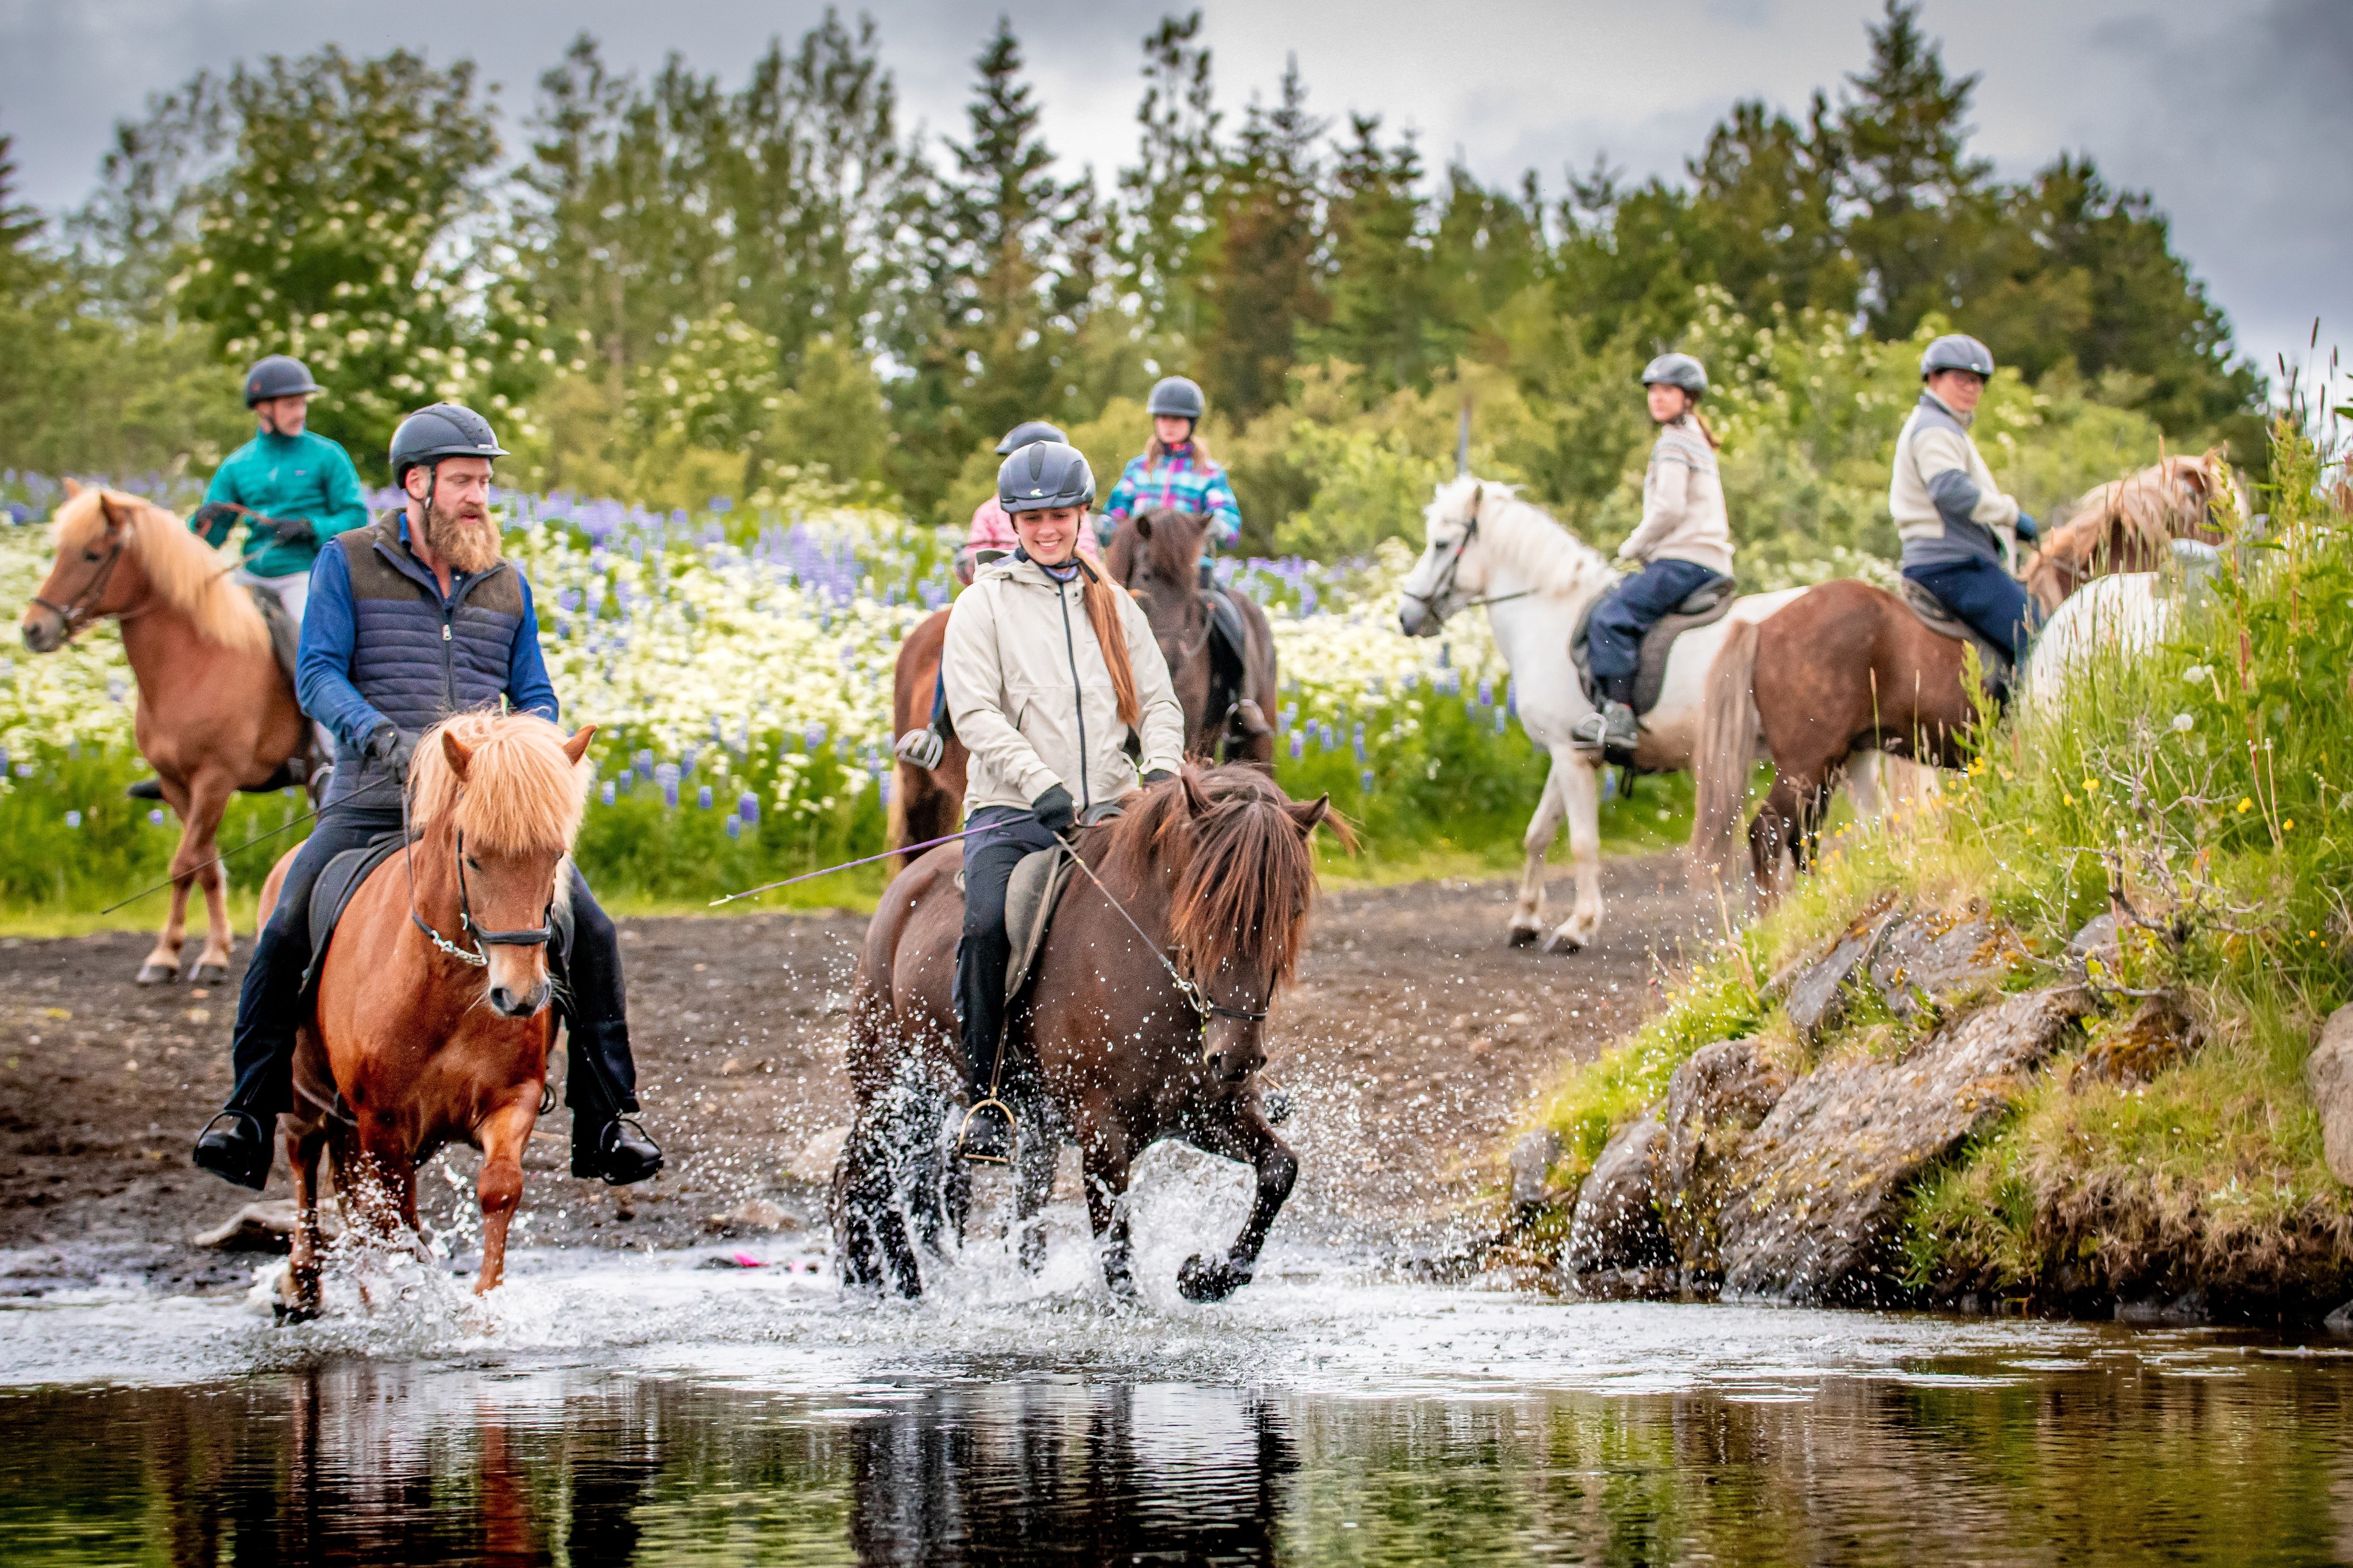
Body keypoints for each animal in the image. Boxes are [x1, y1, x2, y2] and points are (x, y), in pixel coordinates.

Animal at [18, 481, 311, 984]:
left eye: (93, 554)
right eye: (59, 552)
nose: (35, 630)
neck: (194, 664)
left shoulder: (215, 780)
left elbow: (183, 863)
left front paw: (189, 955)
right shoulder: (177, 784)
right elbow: (203, 865)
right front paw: (194, 951)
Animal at [259, 711, 595, 1317]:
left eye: (556, 855)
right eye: (474, 857)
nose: (520, 996)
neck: (447, 991)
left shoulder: (512, 1099)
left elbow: (499, 1188)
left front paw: (484, 1307)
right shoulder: (383, 1121)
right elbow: (396, 1222)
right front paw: (413, 1301)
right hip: (304, 1088)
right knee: (304, 1157)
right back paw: (303, 1283)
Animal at [836, 765, 1341, 1302]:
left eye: (1291, 911)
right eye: (1205, 904)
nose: (1237, 1058)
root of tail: (904, 885)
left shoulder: (1207, 1113)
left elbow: (1280, 1170)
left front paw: (1206, 1276)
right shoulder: (1103, 1135)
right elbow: (1117, 1258)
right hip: (891, 1089)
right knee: (866, 1177)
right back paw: (896, 1285)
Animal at [1394, 474, 1836, 951]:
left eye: (1440, 544)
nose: (1406, 615)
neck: (1550, 617)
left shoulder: (1571, 757)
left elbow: (1583, 843)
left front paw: (1577, 927)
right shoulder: (1567, 753)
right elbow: (1537, 833)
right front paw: (1525, 920)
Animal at [1692, 454, 2231, 893]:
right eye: (2213, 510)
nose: (2232, 567)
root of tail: (1762, 626)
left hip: (1835, 761)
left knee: (1802, 839)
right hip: (1808, 760)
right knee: (1768, 833)